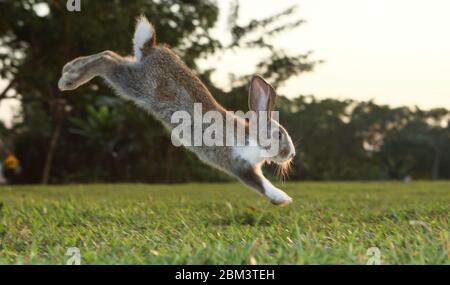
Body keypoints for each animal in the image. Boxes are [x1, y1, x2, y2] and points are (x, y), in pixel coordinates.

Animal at [58, 15, 296, 205]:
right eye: (279, 135)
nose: (292, 154)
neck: (252, 138)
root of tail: (152, 48)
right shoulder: (238, 164)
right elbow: (260, 184)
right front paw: (283, 199)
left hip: (133, 70)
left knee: (110, 54)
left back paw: (69, 69)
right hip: (135, 84)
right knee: (106, 61)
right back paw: (68, 80)